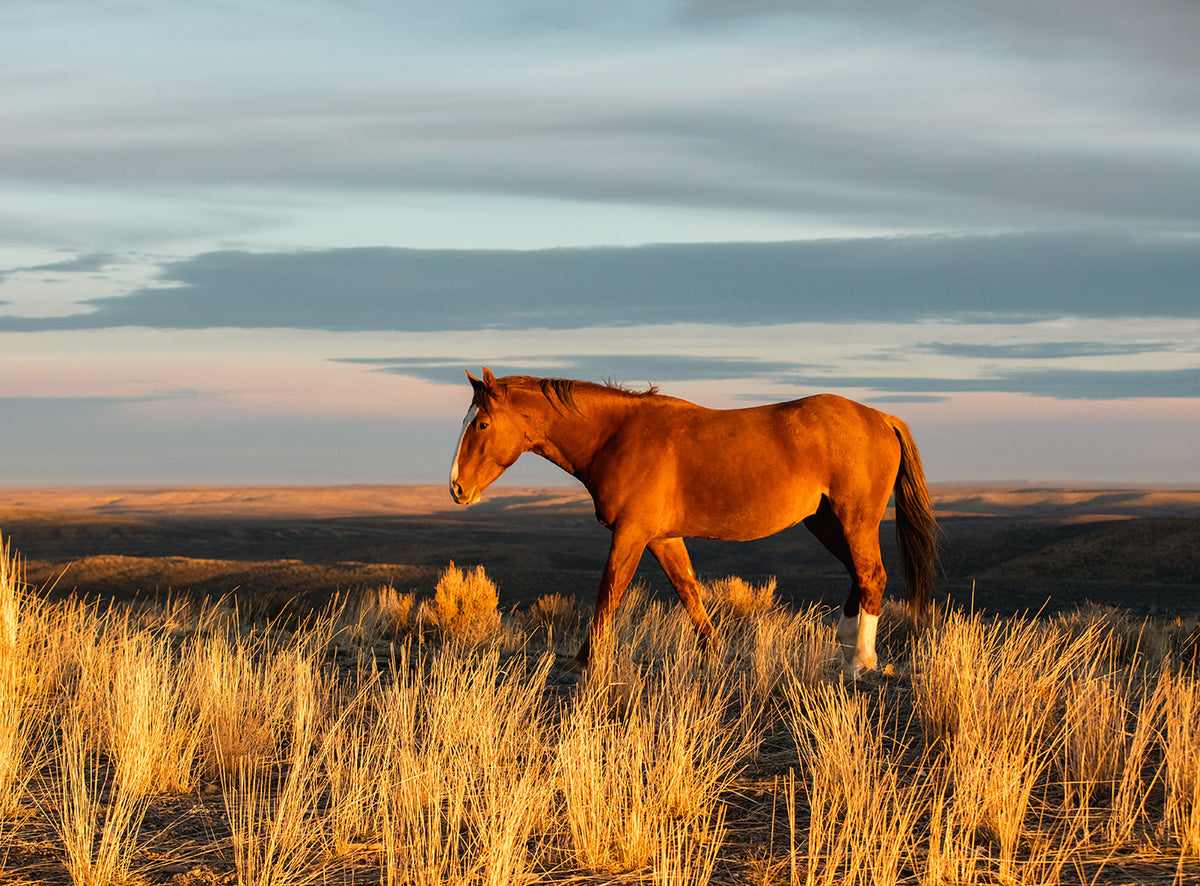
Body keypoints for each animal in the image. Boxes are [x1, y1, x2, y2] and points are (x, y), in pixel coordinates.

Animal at [448, 364, 936, 667]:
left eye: (483, 424)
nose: (456, 488)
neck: (617, 436)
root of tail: (881, 417)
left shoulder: (631, 533)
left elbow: (609, 593)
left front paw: (584, 663)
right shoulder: (662, 538)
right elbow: (689, 592)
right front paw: (716, 655)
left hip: (854, 519)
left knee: (870, 575)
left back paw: (861, 661)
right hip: (825, 522)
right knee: (857, 574)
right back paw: (844, 652)